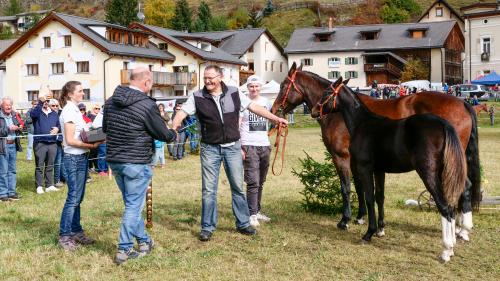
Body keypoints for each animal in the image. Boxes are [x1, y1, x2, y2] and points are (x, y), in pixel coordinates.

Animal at [274, 62, 480, 240]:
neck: (341, 113)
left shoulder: (341, 157)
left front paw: (345, 220)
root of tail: (463, 103)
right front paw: (361, 218)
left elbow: (347, 188)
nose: (275, 109)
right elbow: (361, 189)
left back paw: (461, 229)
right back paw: (460, 228)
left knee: (463, 188)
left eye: (283, 85)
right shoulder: (358, 162)